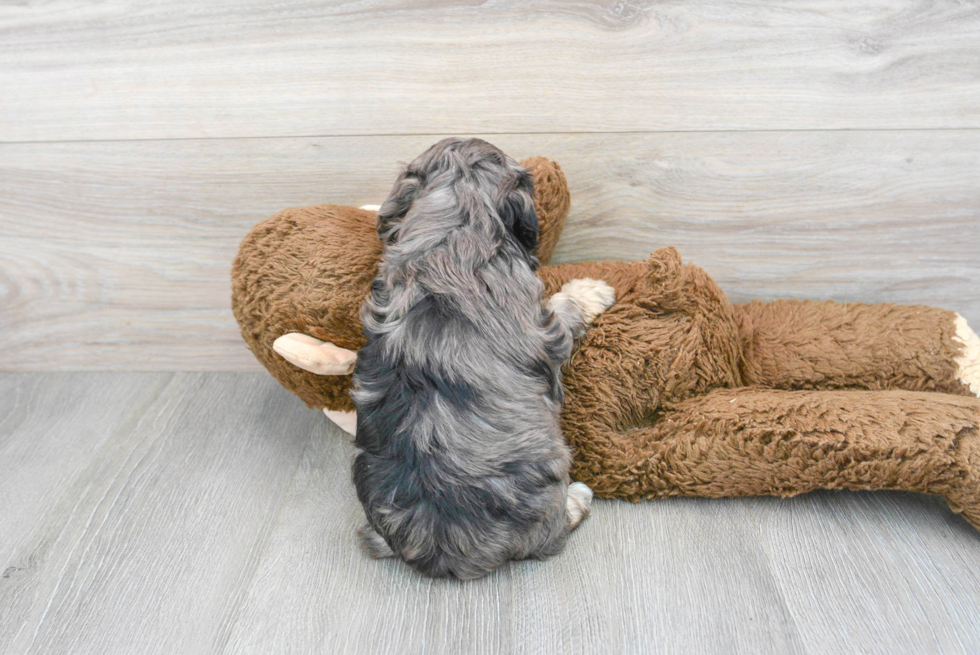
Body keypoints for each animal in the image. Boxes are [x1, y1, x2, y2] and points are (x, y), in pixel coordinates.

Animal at [350, 137, 612, 580]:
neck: (450, 233)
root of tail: (442, 549)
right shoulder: (543, 326)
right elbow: (564, 305)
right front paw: (591, 291)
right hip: (549, 480)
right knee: (551, 530)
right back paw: (577, 500)